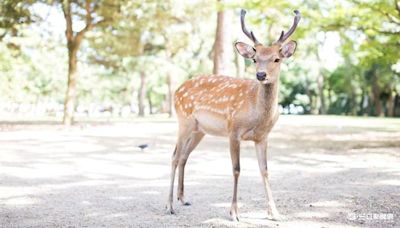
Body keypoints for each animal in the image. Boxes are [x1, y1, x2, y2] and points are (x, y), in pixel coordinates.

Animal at [165, 8, 300, 221]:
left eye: (277, 59)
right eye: (254, 59)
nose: (261, 75)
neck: (258, 115)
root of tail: (177, 90)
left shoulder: (262, 137)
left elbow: (265, 170)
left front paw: (275, 213)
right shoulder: (233, 130)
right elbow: (236, 169)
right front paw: (234, 212)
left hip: (199, 130)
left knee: (184, 156)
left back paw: (183, 198)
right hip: (183, 121)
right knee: (174, 157)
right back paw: (170, 205)